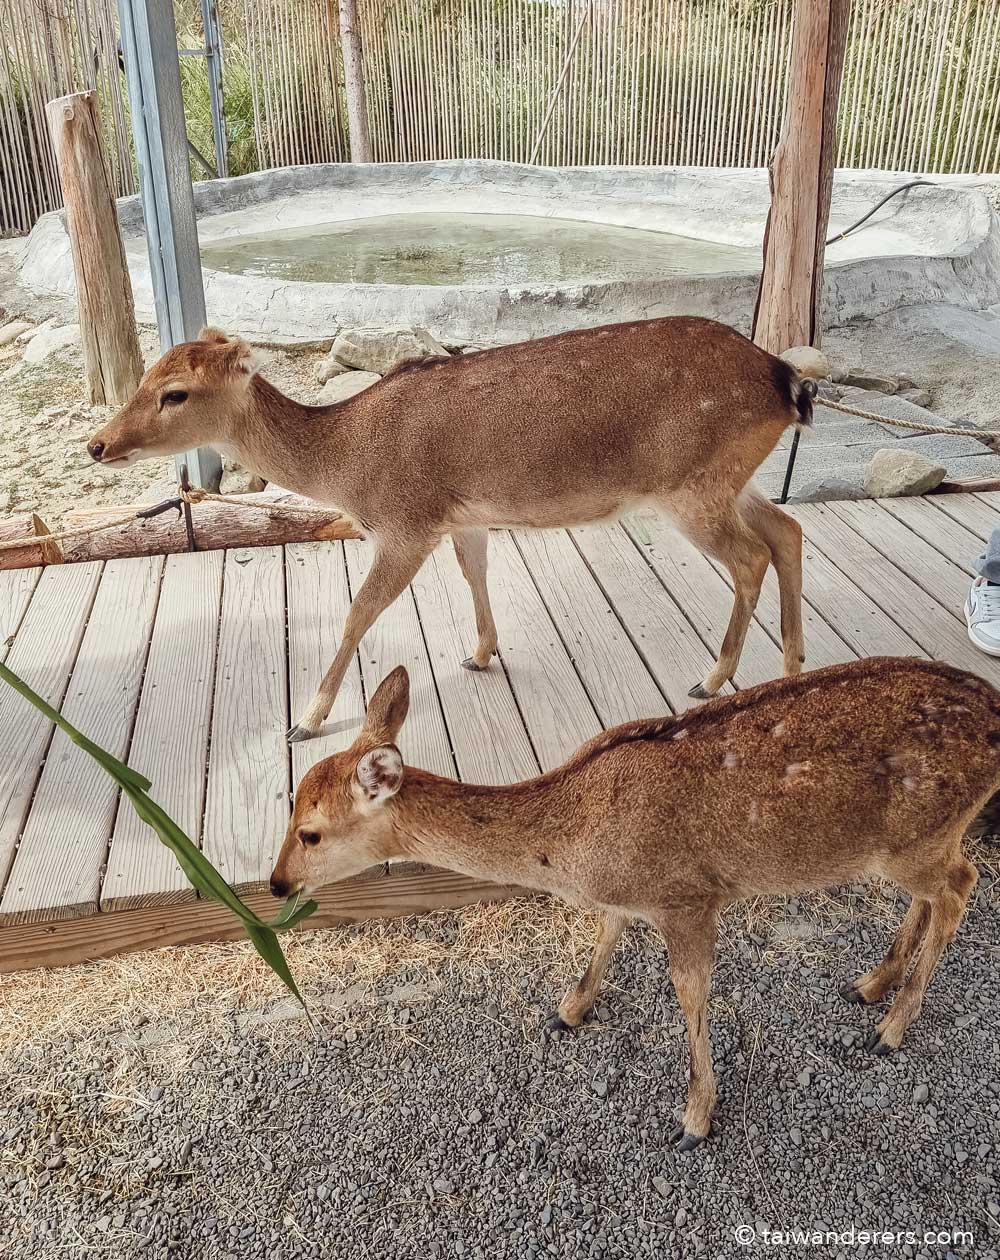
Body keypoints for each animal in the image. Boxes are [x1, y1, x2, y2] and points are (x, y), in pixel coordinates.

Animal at [86, 317, 814, 743]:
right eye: (146, 374)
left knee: (751, 555)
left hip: (688, 485)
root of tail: (788, 382)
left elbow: (358, 612)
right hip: (729, 478)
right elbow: (475, 571)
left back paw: (711, 678)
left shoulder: (405, 524)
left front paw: (306, 720)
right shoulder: (463, 517)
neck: (347, 462)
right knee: (788, 529)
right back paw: (792, 666)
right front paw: (481, 652)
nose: (97, 445)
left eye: (175, 392)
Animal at [270, 657, 994, 1149]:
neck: (572, 844)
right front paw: (568, 1011)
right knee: (937, 892)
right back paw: (871, 984)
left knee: (963, 886)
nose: (276, 884)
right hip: (917, 842)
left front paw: (695, 1119)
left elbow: (690, 992)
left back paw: (891, 1029)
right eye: (292, 809)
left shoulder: (688, 897)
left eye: (311, 832)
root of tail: (996, 718)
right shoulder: (622, 897)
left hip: (915, 840)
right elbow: (606, 934)